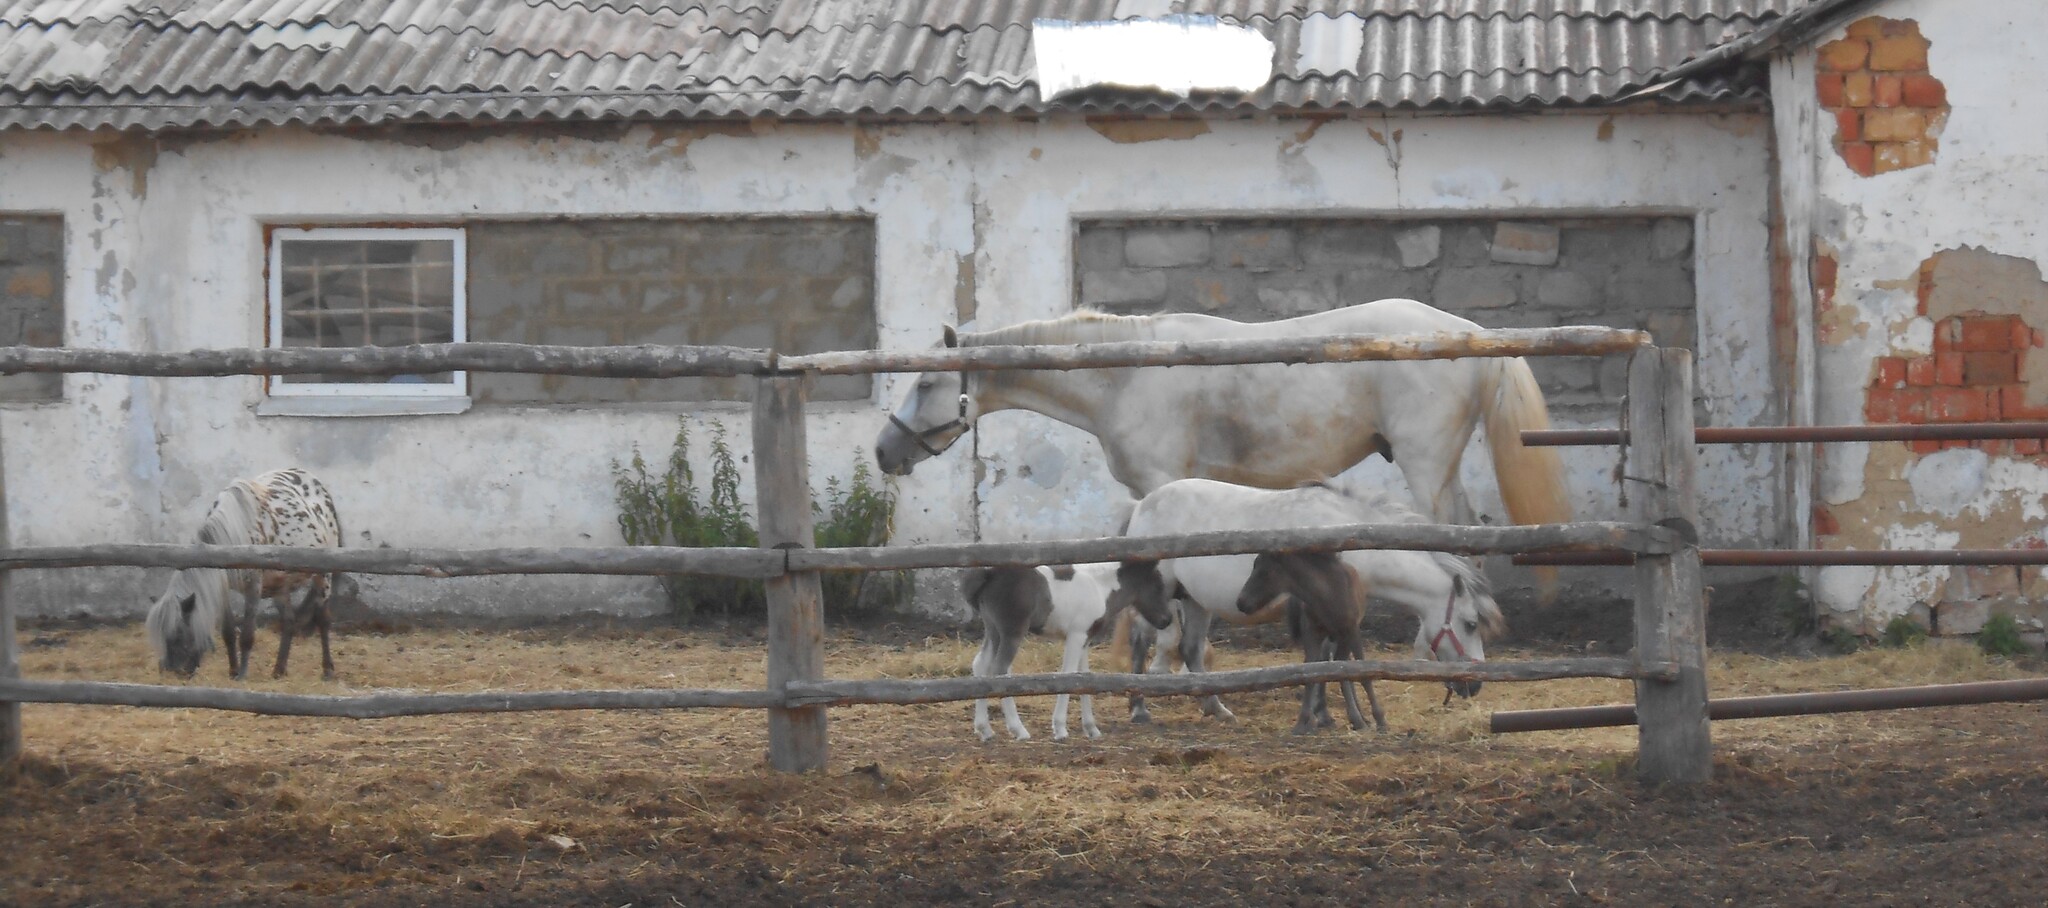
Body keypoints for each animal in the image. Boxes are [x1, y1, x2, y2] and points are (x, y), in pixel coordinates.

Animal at [146, 469, 350, 680]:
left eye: (179, 634)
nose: (172, 671)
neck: (232, 536)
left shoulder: (253, 585)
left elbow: (247, 634)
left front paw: (242, 673)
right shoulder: (223, 589)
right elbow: (228, 632)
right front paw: (233, 669)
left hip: (322, 576)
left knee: (323, 620)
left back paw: (327, 669)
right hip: (280, 584)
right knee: (289, 620)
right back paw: (279, 669)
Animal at [876, 299, 1564, 528]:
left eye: (926, 382)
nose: (884, 452)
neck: (1126, 375)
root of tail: (1470, 333)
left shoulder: (1164, 483)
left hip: (1424, 466)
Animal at [958, 565, 1171, 741]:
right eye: (1158, 587)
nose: (1167, 620)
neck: (1100, 587)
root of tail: (989, 574)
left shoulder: (1085, 638)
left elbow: (1083, 677)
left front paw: (1091, 729)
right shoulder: (1075, 636)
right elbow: (1067, 675)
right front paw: (1060, 729)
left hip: (993, 629)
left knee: (981, 666)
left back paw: (985, 730)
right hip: (1012, 631)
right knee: (1000, 670)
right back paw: (1018, 730)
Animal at [1228, 549, 1392, 737]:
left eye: (1264, 571)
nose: (1241, 603)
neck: (1327, 595)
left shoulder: (1351, 631)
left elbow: (1363, 675)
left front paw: (1380, 719)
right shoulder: (1313, 634)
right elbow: (1311, 673)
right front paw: (1303, 722)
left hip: (1342, 638)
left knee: (1345, 667)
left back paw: (1358, 718)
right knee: (1335, 666)